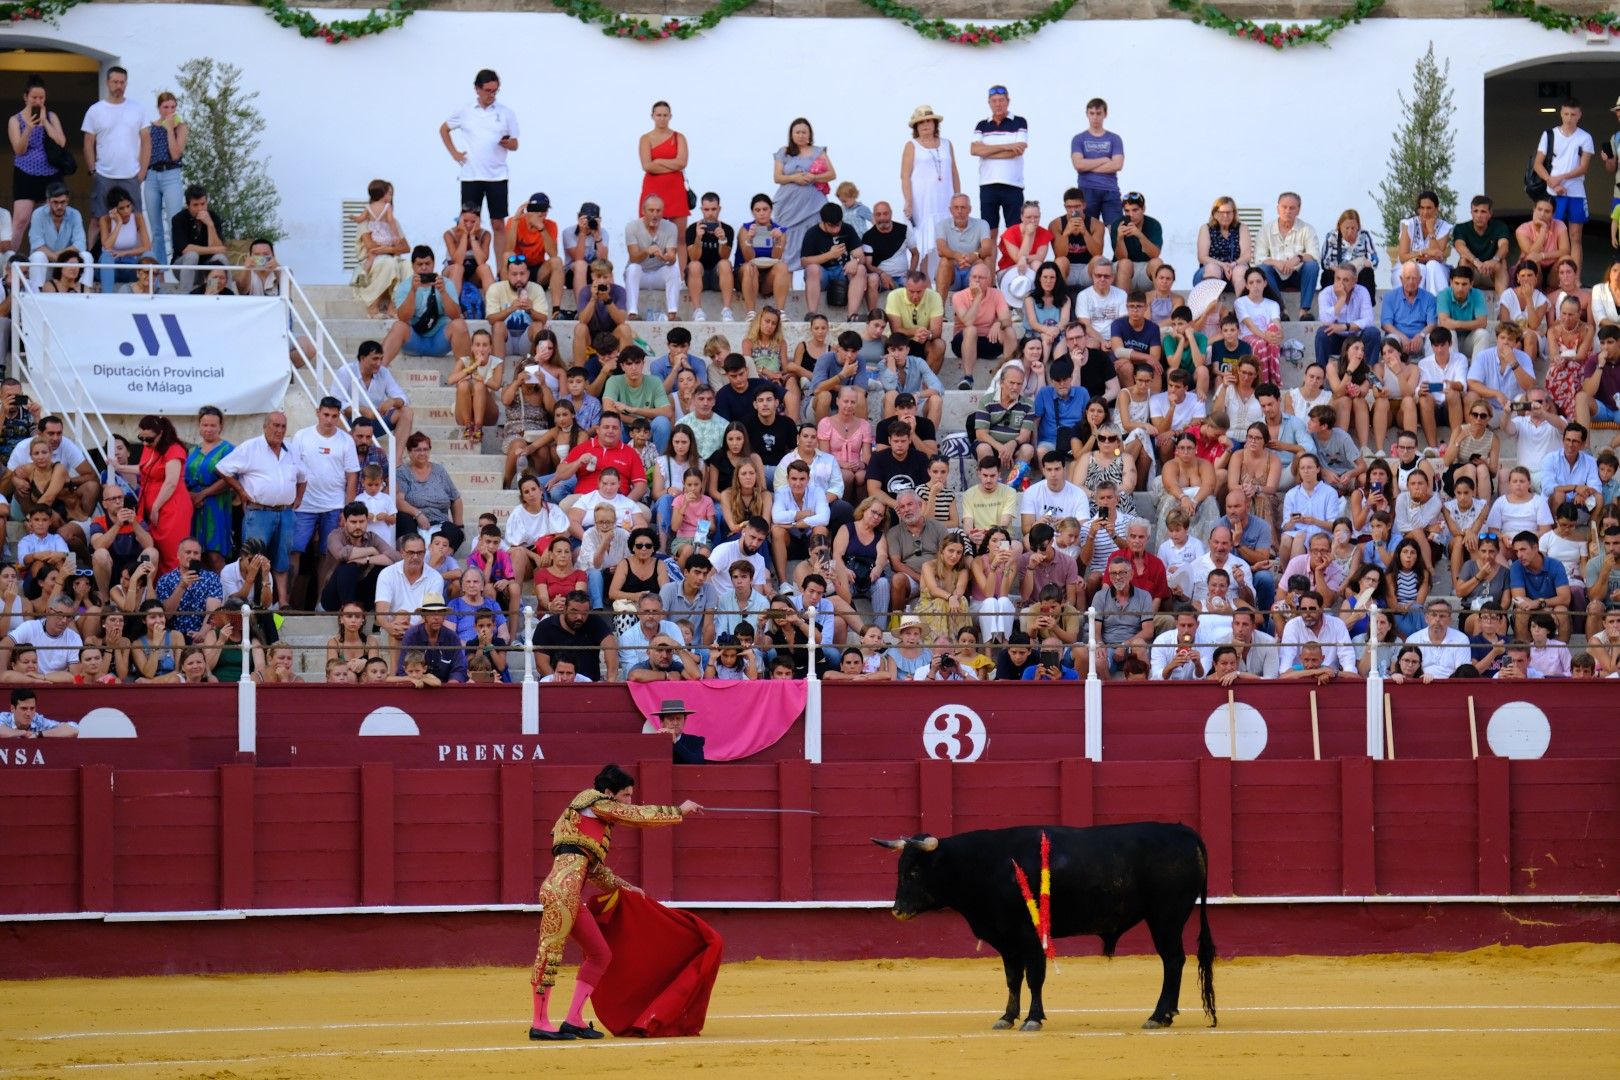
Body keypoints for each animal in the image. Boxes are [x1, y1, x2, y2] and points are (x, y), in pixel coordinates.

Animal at [874, 829, 1218, 1029]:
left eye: (914, 872)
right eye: (900, 869)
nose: (897, 911)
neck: (984, 865)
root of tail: (1184, 831)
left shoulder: (1029, 936)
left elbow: (1034, 978)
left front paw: (1033, 1019)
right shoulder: (1006, 939)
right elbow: (1012, 979)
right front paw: (1007, 1017)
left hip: (1166, 918)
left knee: (1172, 961)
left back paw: (1158, 1016)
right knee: (1174, 961)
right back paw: (1167, 1015)